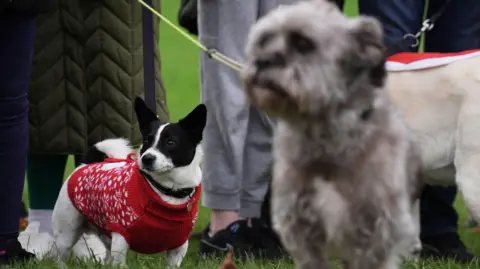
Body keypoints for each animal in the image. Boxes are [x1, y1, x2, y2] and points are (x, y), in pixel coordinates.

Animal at [51, 97, 207, 266]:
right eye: (146, 140)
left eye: (171, 142)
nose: (146, 158)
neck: (166, 191)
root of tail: (86, 164)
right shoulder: (121, 239)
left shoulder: (178, 248)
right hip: (67, 233)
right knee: (61, 257)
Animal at [244, 1, 424, 266]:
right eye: (264, 40)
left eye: (303, 43)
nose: (261, 61)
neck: (327, 142)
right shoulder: (300, 227)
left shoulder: (376, 231)